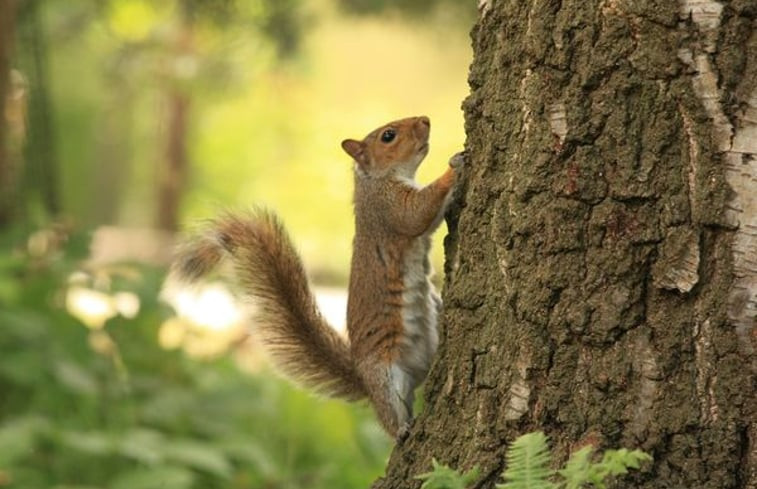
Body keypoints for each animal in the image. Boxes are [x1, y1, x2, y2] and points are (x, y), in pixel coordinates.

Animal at [172, 116, 464, 436]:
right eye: (388, 136)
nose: (425, 120)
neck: (374, 180)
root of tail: (362, 379)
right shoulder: (387, 207)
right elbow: (416, 213)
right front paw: (455, 165)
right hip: (384, 376)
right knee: (389, 414)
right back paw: (402, 430)